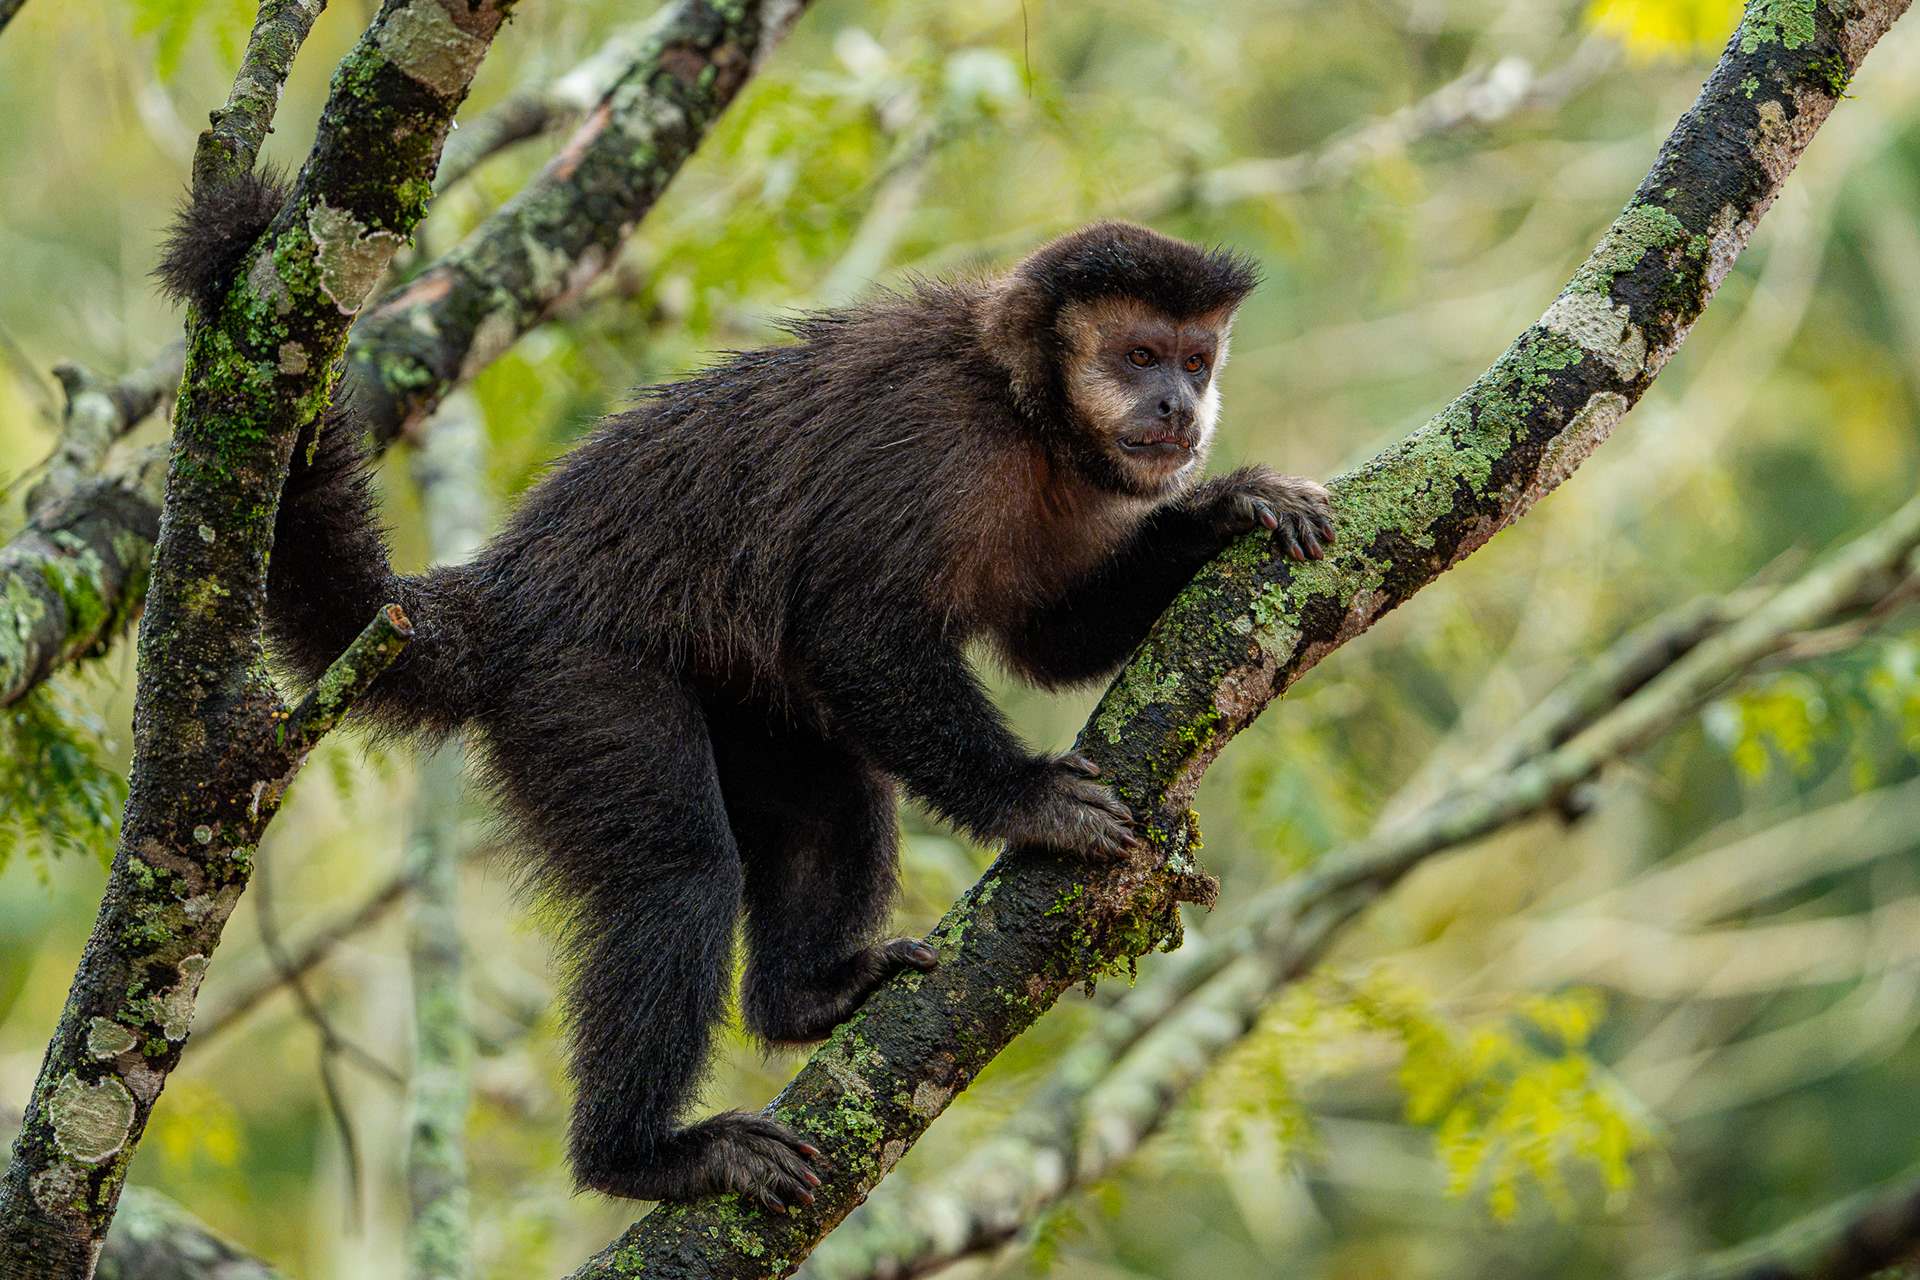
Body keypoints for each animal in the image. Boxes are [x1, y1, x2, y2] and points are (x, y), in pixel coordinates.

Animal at [160, 202, 1335, 1212]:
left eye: (1195, 360)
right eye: (1137, 356)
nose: (1180, 407)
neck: (1023, 413)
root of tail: (504, 592)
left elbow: (1050, 641)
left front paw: (1230, 506)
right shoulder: (932, 434)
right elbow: (853, 626)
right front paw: (1028, 800)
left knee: (831, 794)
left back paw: (806, 998)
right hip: (574, 682)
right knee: (680, 872)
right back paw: (643, 1156)